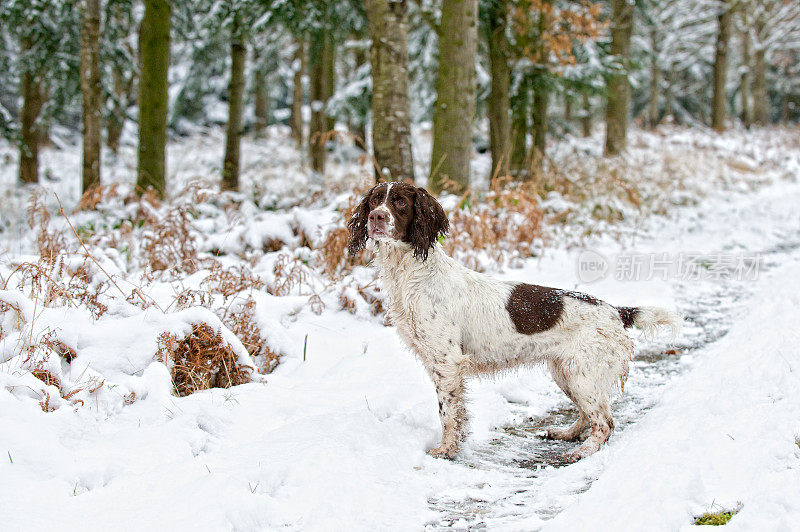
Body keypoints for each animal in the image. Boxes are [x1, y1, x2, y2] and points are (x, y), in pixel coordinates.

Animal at [346, 183, 680, 462]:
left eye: (400, 202)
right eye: (375, 200)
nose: (376, 217)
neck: (411, 274)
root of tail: (616, 311)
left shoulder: (447, 361)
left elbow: (448, 413)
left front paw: (446, 450)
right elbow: (456, 411)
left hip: (582, 372)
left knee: (605, 421)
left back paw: (582, 452)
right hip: (566, 372)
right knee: (589, 415)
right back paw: (566, 434)